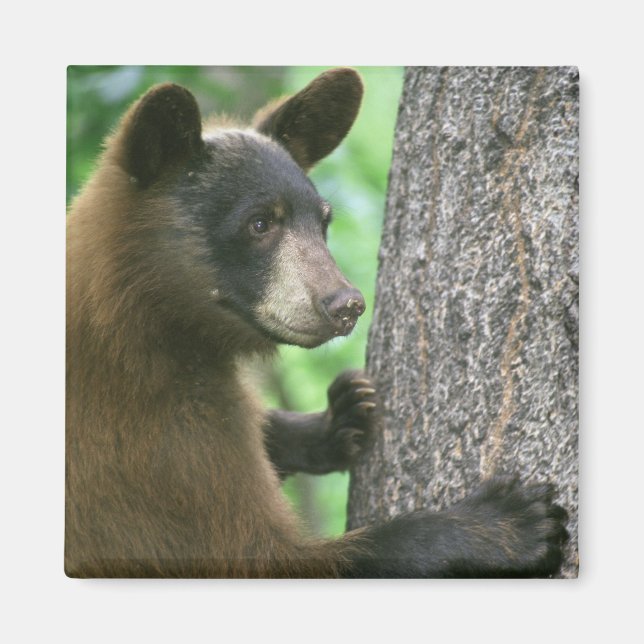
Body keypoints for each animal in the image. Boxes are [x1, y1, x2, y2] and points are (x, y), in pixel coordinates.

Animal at [66, 68, 567, 577]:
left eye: (323, 221)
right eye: (260, 223)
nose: (347, 305)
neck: (148, 326)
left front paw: (338, 418)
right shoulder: (153, 451)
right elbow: (264, 558)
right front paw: (505, 524)